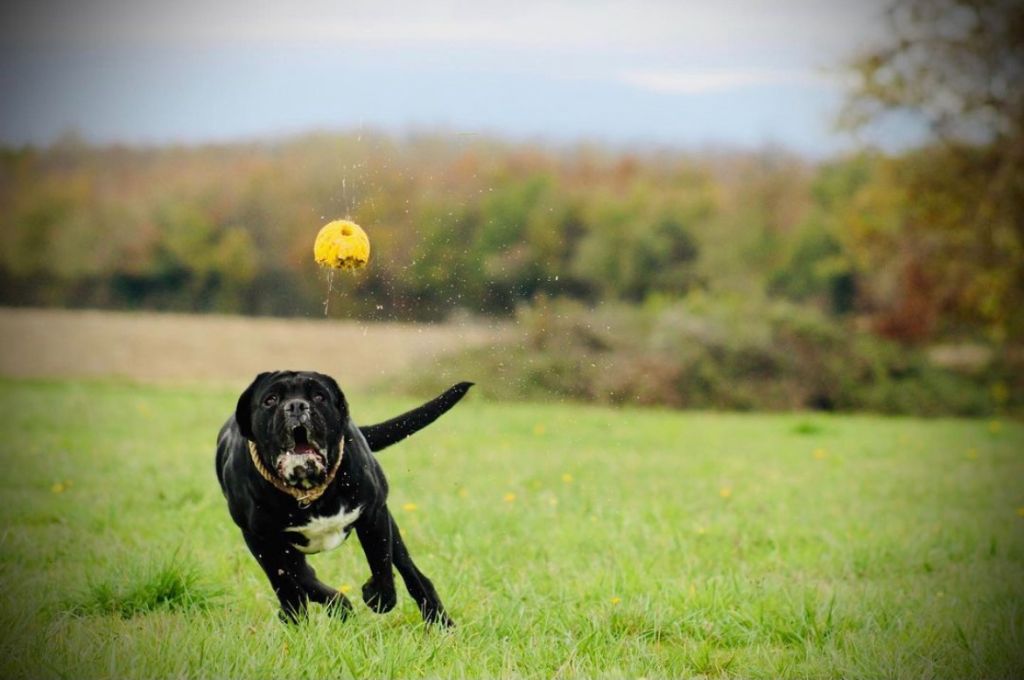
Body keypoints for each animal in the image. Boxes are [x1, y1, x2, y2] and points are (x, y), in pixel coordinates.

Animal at [219, 372, 471, 626]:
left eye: (319, 397)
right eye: (270, 400)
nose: (296, 406)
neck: (309, 491)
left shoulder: (374, 514)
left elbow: (382, 565)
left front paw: (376, 596)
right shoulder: (259, 538)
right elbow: (288, 580)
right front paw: (311, 611)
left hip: (393, 532)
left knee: (412, 573)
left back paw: (441, 623)